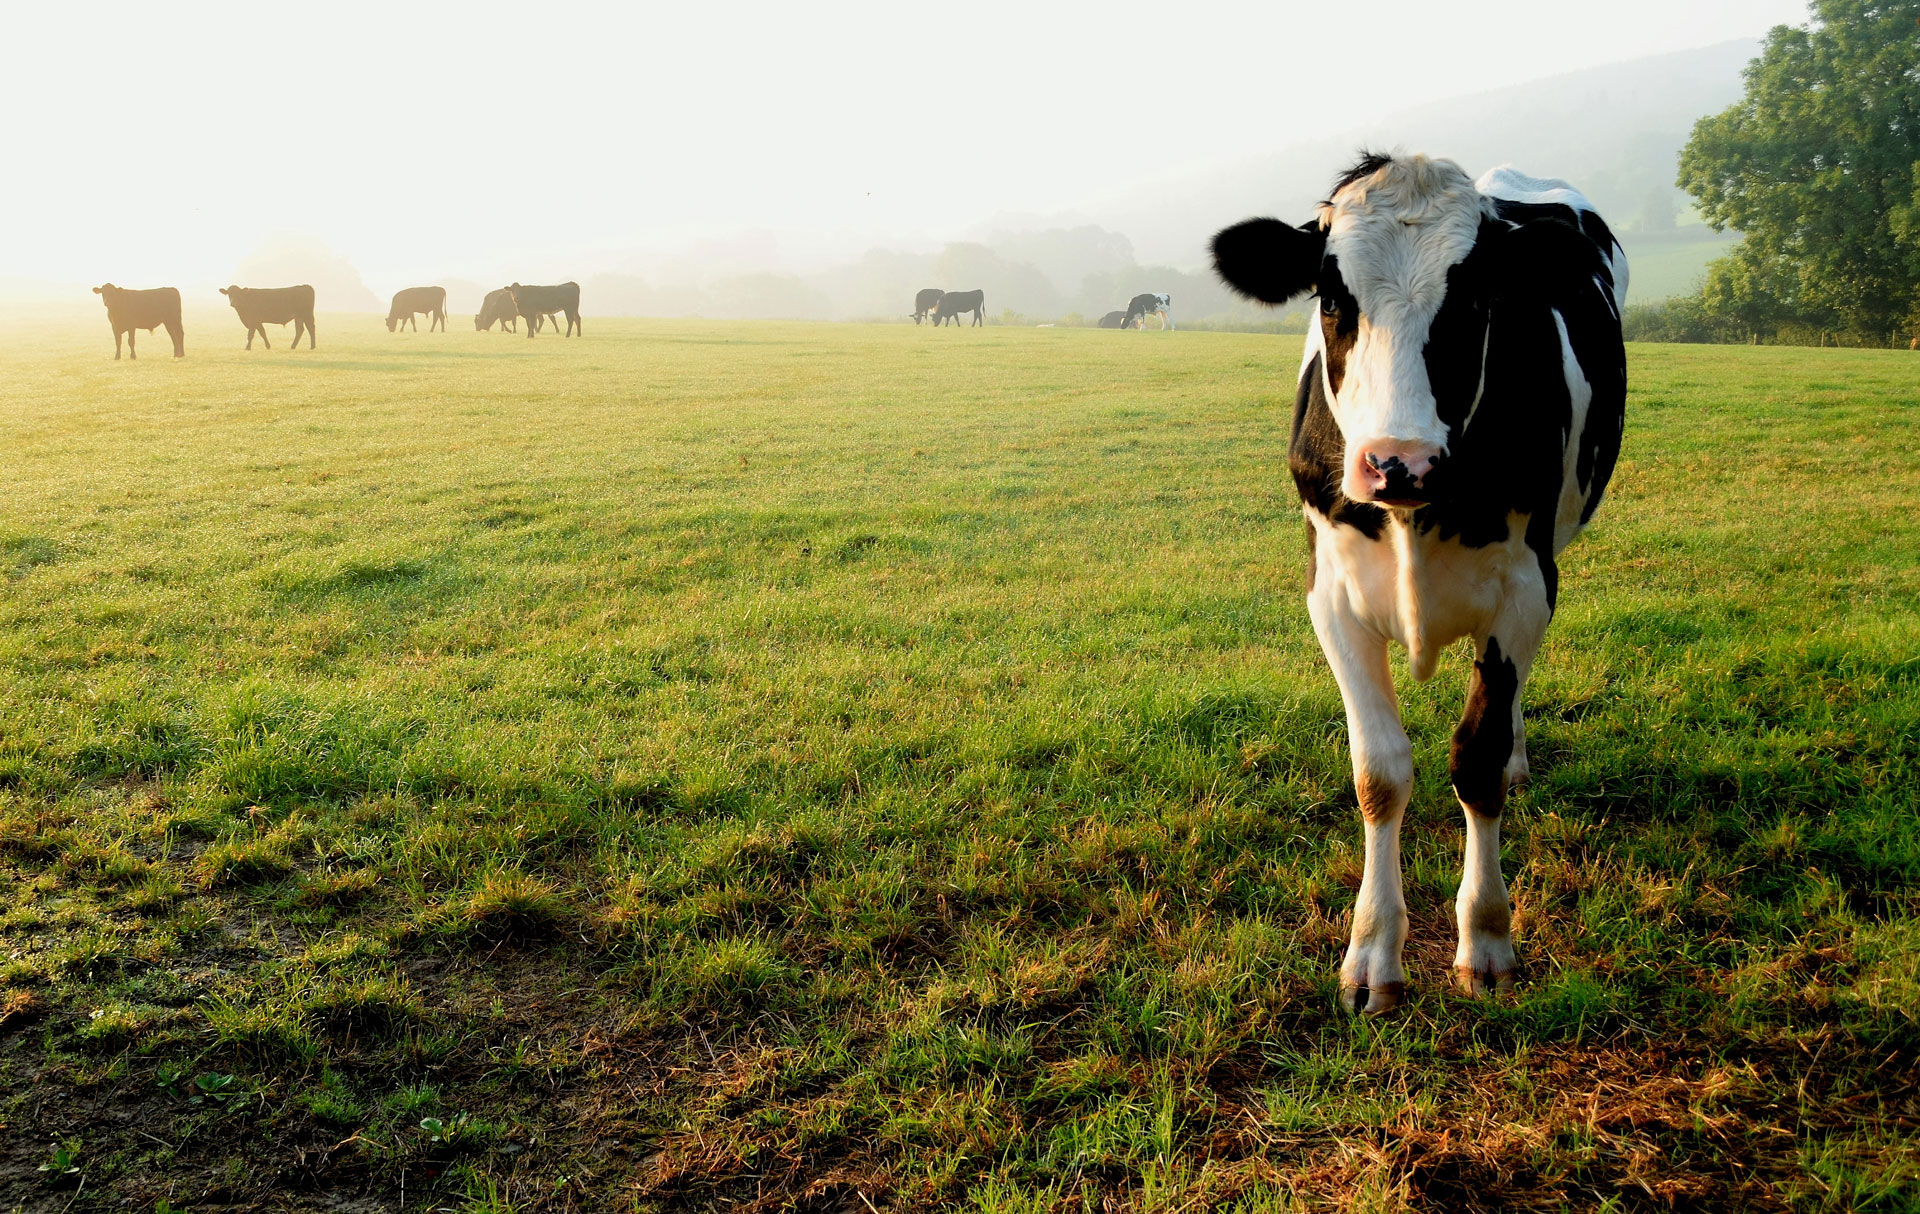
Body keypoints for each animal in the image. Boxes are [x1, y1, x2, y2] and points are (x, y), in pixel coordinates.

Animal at [1205, 156, 1628, 1021]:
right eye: (1333, 297)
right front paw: (1372, 953)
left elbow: (1478, 756)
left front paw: (1488, 939)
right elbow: (1380, 774)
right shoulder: (1331, 594)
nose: (1399, 462)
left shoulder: (1527, 587)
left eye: (1476, 299)